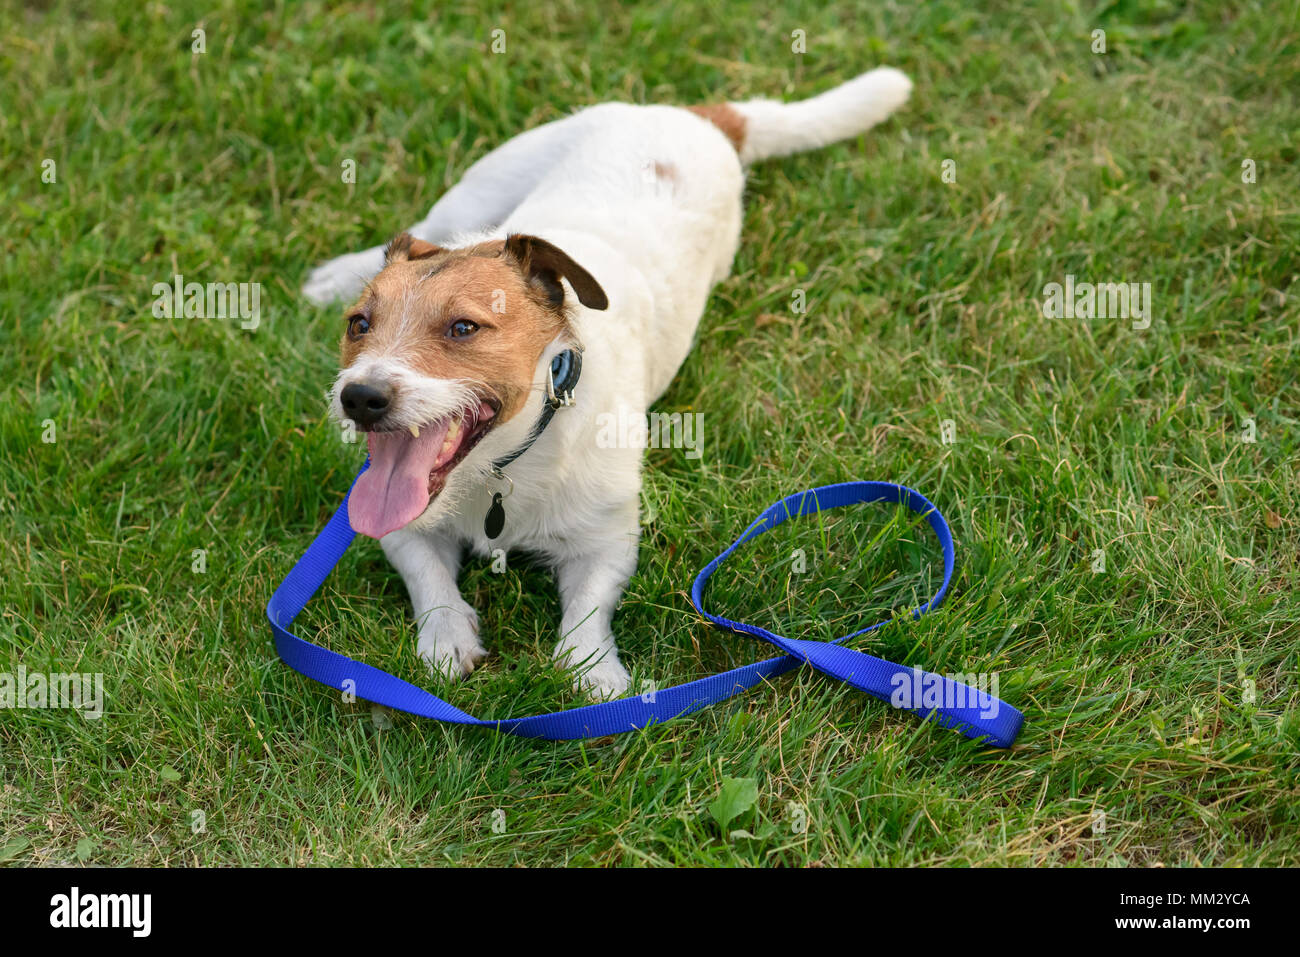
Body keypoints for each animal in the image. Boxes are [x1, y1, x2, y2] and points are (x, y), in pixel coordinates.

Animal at [304, 65, 915, 696]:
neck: (504, 465)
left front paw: (594, 674)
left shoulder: (607, 542)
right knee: (422, 228)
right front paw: (446, 636)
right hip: (483, 184)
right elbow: (427, 576)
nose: (360, 398)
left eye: (463, 327)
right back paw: (336, 273)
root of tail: (691, 116)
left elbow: (588, 612)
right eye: (359, 325)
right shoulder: (401, 529)